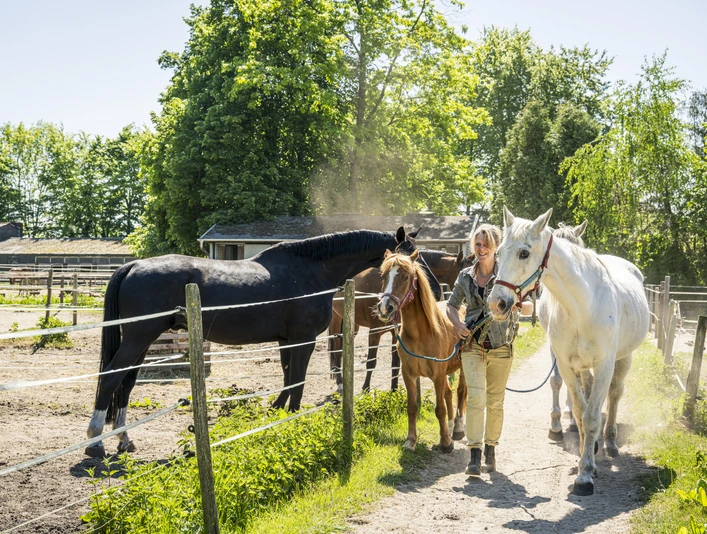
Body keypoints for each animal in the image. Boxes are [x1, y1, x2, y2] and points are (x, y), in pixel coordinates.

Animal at [85, 227, 419, 458]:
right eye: (403, 260)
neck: (311, 270)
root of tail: (134, 266)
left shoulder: (286, 340)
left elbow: (287, 378)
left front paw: (276, 411)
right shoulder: (303, 339)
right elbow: (297, 381)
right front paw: (292, 418)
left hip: (142, 342)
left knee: (126, 382)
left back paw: (124, 439)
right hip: (138, 337)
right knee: (111, 378)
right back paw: (95, 441)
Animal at [329, 250, 474, 392]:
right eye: (383, 276)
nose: (437, 293)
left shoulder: (395, 332)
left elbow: (395, 363)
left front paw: (394, 390)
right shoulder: (374, 331)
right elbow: (371, 361)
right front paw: (366, 390)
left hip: (352, 326)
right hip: (337, 320)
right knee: (336, 348)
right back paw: (340, 382)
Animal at [376, 250, 467, 453]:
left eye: (405, 276)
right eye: (383, 275)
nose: (385, 307)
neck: (421, 334)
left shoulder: (438, 374)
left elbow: (440, 408)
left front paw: (445, 442)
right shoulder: (408, 374)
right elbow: (412, 407)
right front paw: (411, 441)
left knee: (461, 391)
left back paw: (457, 428)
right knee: (449, 392)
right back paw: (450, 426)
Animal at [489, 208, 649, 496]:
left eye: (524, 253)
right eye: (498, 252)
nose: (497, 303)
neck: (583, 306)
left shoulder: (605, 364)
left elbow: (593, 416)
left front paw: (585, 477)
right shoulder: (564, 363)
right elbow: (578, 409)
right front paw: (586, 461)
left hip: (623, 359)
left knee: (615, 395)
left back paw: (610, 442)